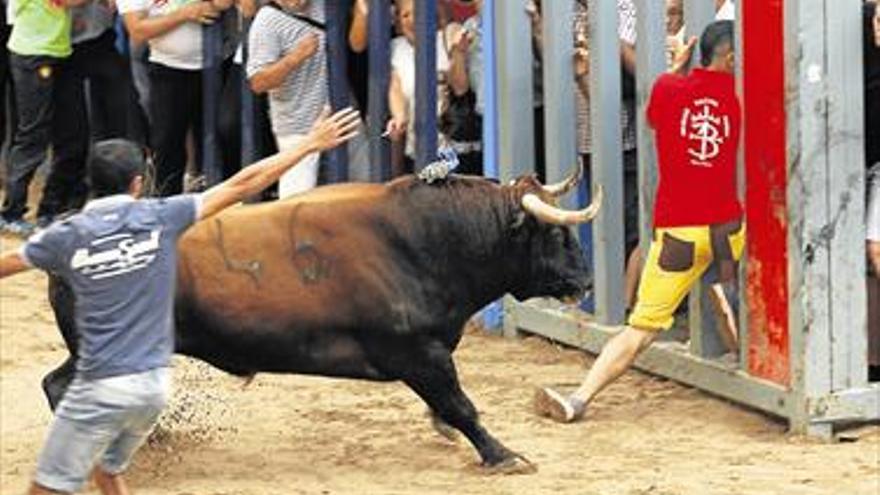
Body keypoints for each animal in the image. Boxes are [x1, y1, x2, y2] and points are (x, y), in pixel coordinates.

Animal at [43, 174, 592, 472]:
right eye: (553, 233)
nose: (585, 279)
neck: (423, 239)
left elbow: (449, 407)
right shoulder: (418, 353)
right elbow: (462, 407)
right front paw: (503, 455)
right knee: (63, 387)